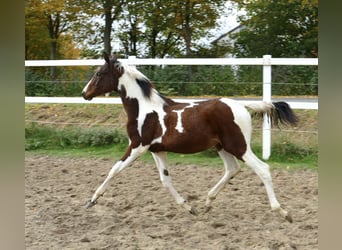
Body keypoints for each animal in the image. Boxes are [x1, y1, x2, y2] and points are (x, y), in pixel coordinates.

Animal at [82, 53, 296, 222]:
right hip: (222, 146)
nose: (84, 93)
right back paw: (207, 203)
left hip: (238, 146)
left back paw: (283, 212)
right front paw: (189, 207)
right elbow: (165, 180)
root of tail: (242, 106)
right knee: (232, 169)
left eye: (99, 73)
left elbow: (114, 170)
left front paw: (92, 200)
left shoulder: (137, 146)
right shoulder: (157, 150)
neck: (144, 109)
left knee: (263, 169)